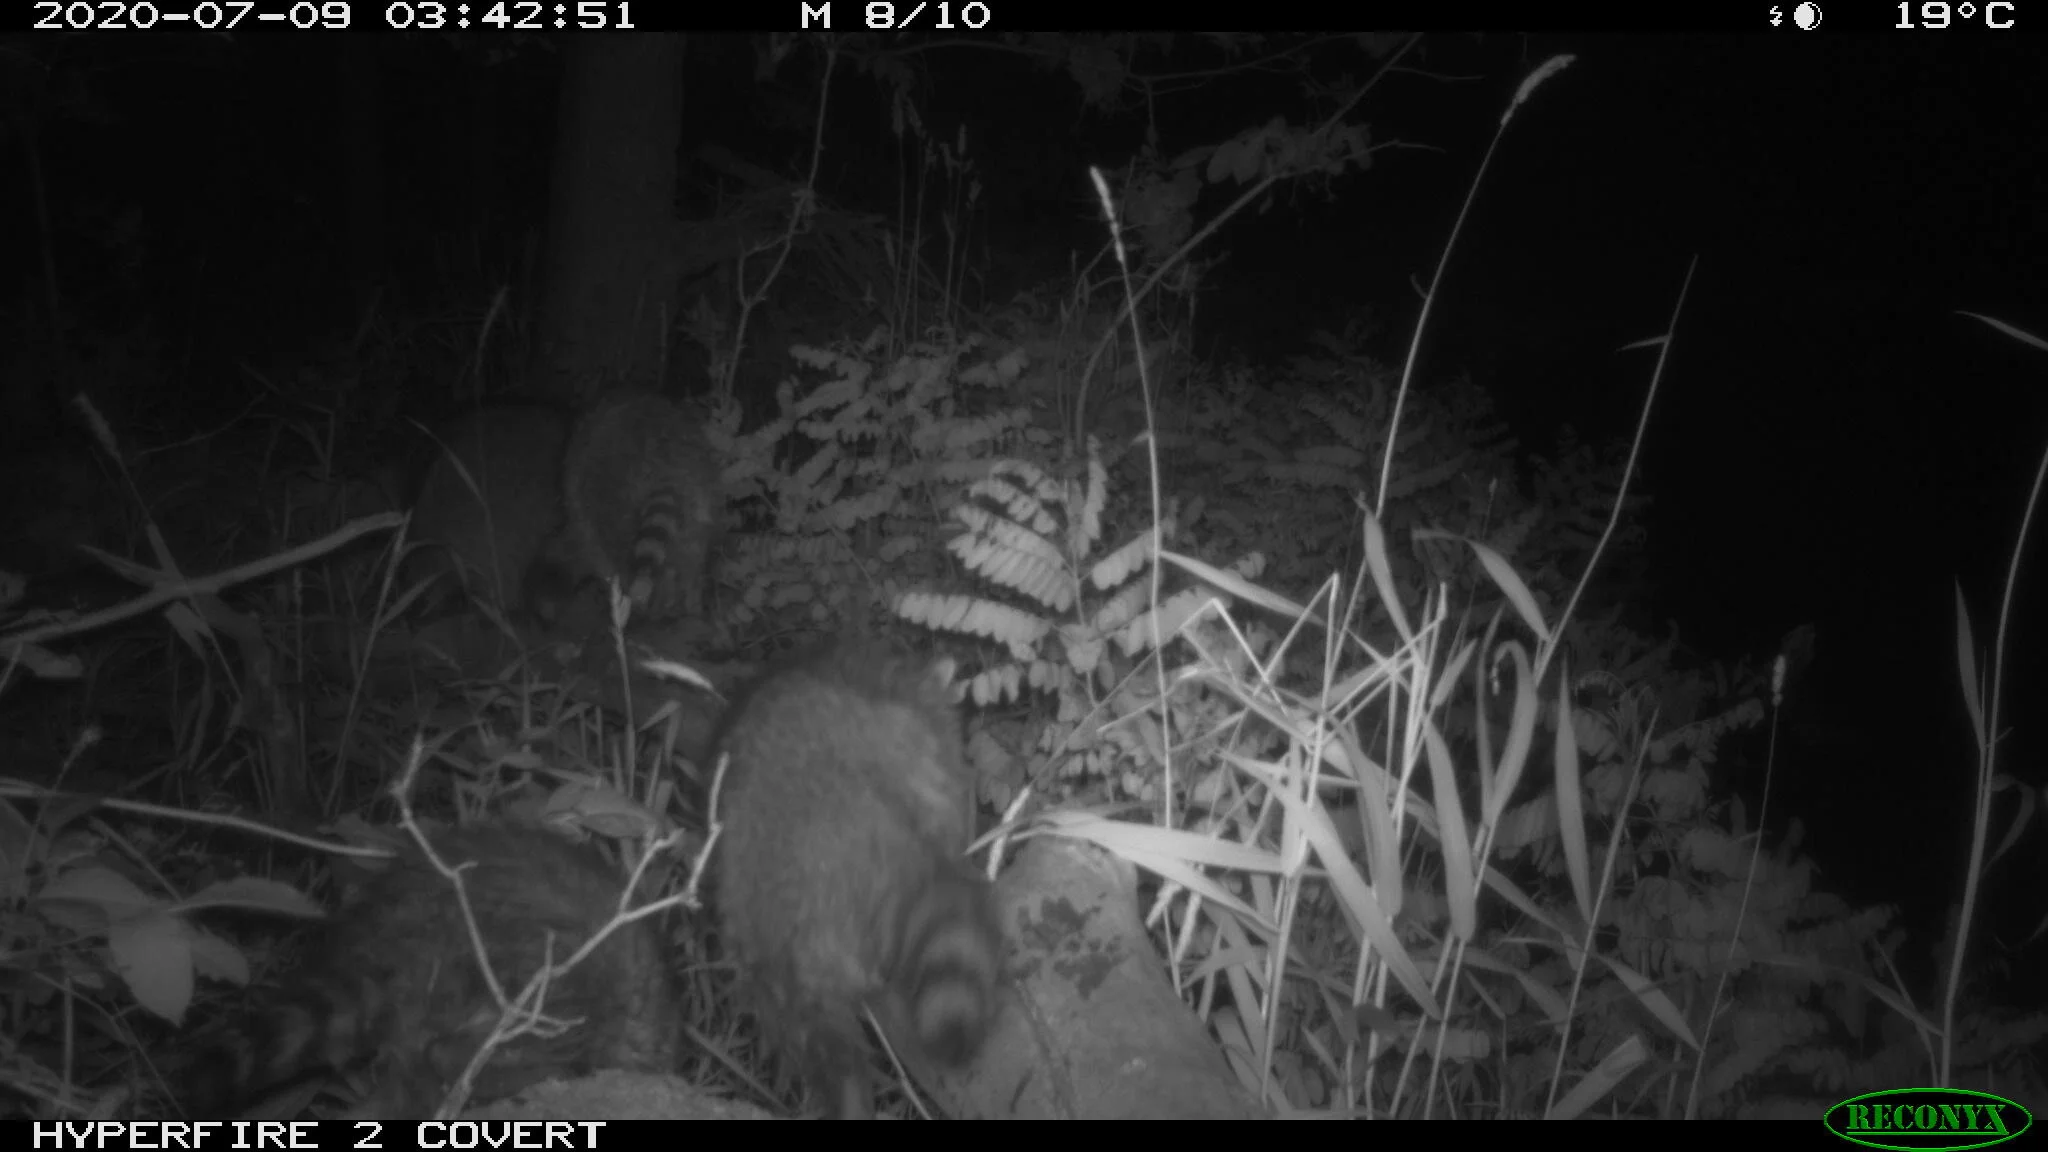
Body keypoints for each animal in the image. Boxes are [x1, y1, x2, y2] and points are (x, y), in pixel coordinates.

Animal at [543, 391, 721, 623]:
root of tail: (667, 467)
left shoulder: (582, 512)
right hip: (702, 496)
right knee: (692, 562)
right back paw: (692, 606)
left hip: (614, 504)